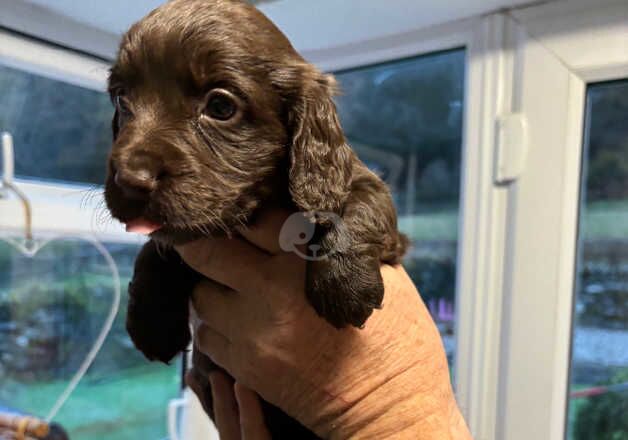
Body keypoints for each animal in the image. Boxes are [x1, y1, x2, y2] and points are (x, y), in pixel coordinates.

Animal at [104, 0, 408, 436]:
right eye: (121, 100)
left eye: (220, 106)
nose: (130, 180)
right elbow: (156, 249)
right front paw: (152, 321)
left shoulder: (362, 186)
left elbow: (361, 206)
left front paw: (345, 283)